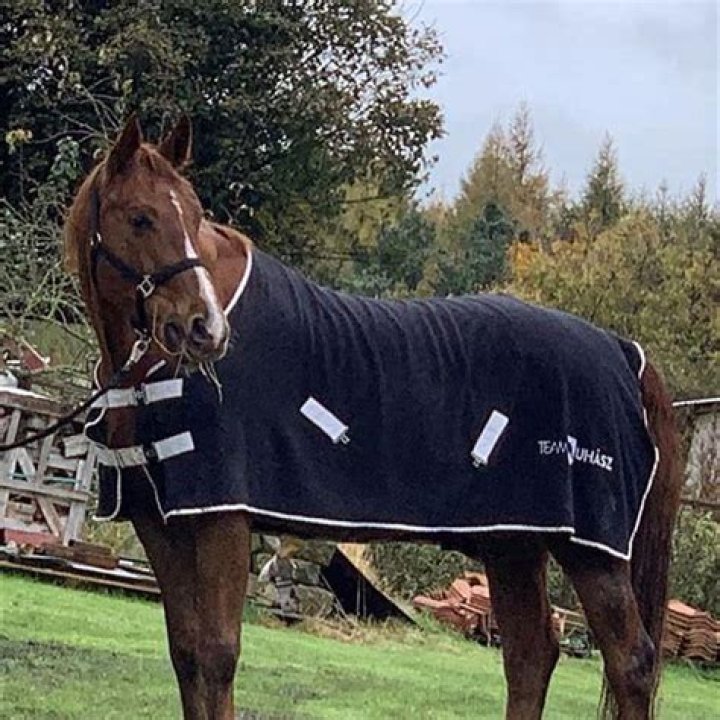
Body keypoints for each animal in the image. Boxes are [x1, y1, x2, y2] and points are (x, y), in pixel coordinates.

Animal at [63, 115, 682, 720]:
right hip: (514, 545)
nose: (205, 329)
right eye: (141, 217)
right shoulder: (159, 524)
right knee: (531, 654)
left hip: (591, 555)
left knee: (631, 662)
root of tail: (623, 352)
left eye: (194, 216)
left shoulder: (222, 519)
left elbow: (216, 655)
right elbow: (187, 653)